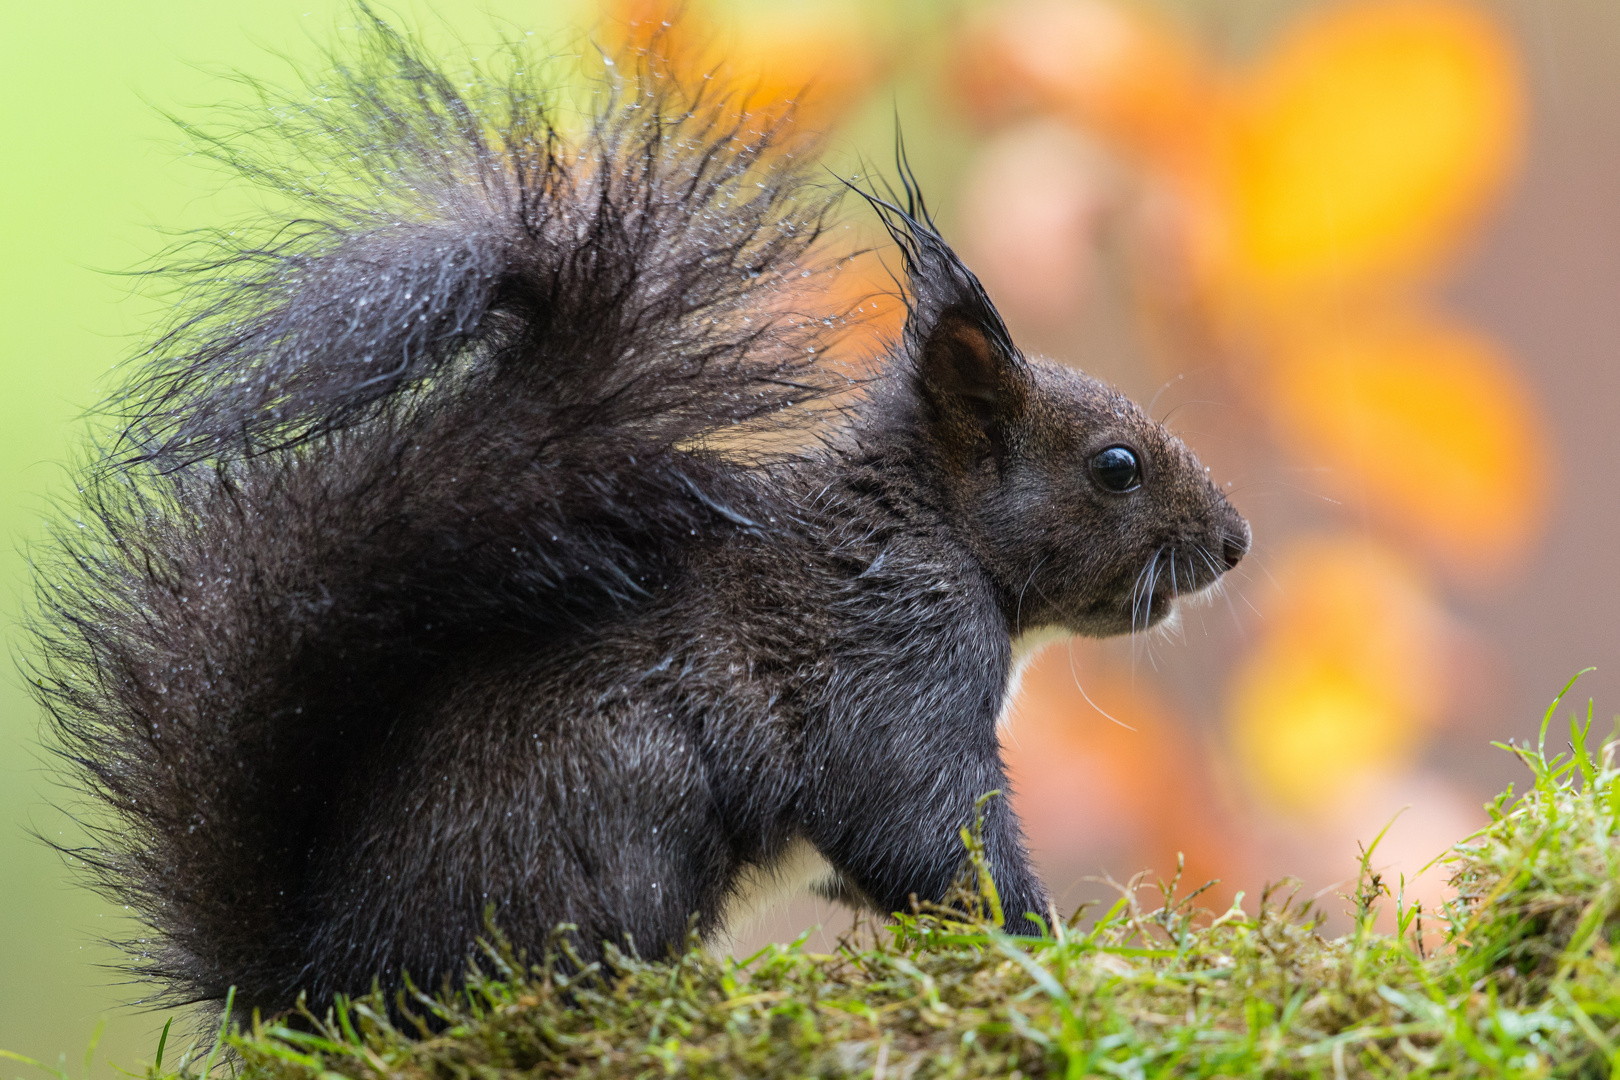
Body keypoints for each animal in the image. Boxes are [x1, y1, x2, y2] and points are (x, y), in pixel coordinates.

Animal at [31, 14, 1250, 1023]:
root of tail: (332, 981)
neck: (931, 525)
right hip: (624, 817)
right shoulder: (895, 663)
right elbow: (928, 834)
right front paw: (1062, 950)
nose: (1236, 543)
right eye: (1117, 467)